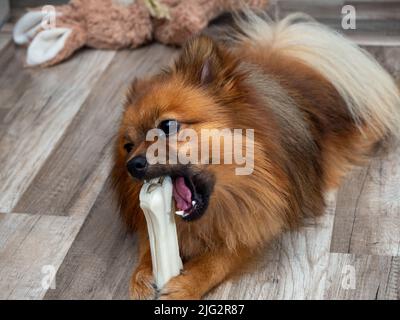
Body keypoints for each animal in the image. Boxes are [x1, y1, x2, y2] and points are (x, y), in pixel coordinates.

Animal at [111, 11, 400, 298]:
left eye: (167, 126)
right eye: (129, 146)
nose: (133, 165)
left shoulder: (264, 217)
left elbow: (222, 257)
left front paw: (189, 282)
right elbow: (148, 242)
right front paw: (143, 273)